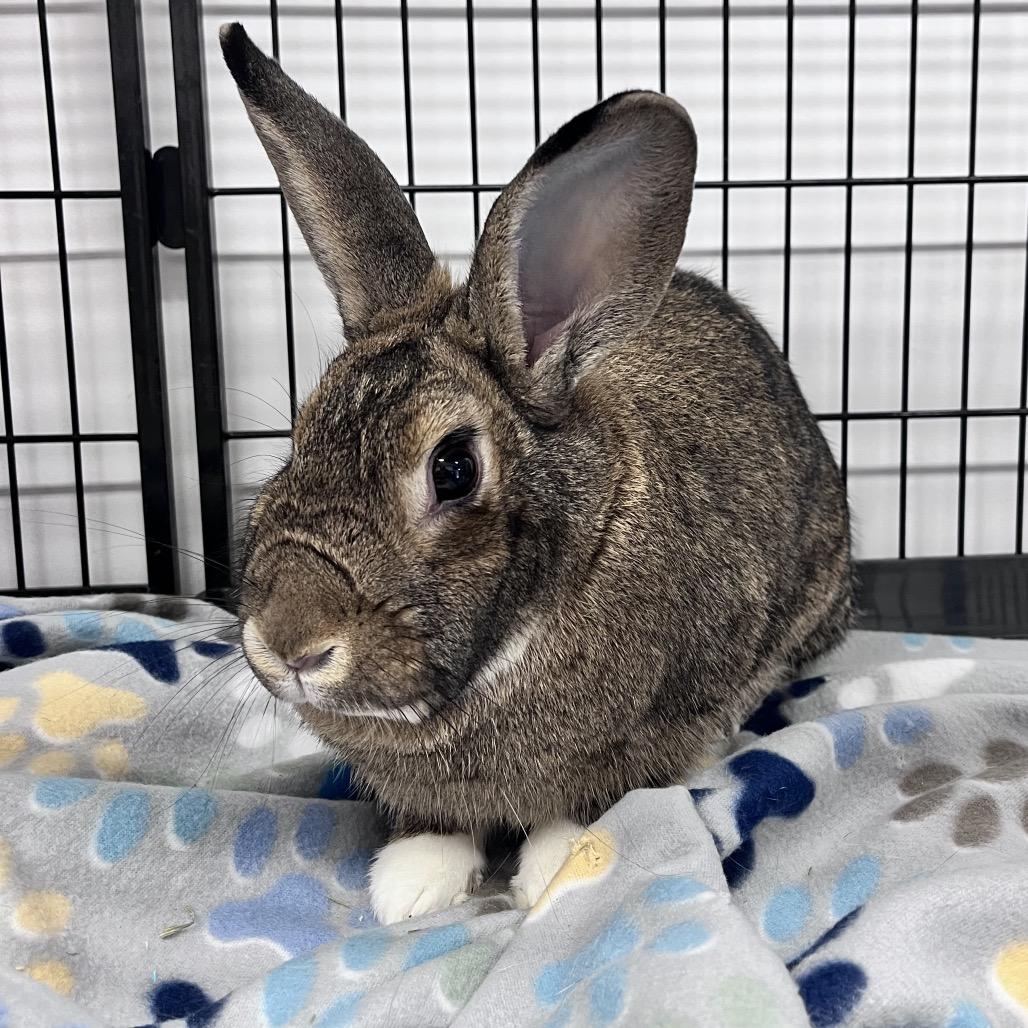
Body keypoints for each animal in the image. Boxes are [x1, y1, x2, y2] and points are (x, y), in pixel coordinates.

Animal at [221, 22, 853, 925]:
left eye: (454, 468)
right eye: (301, 432)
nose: (288, 641)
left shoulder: (657, 721)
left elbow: (589, 800)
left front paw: (551, 869)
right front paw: (410, 885)